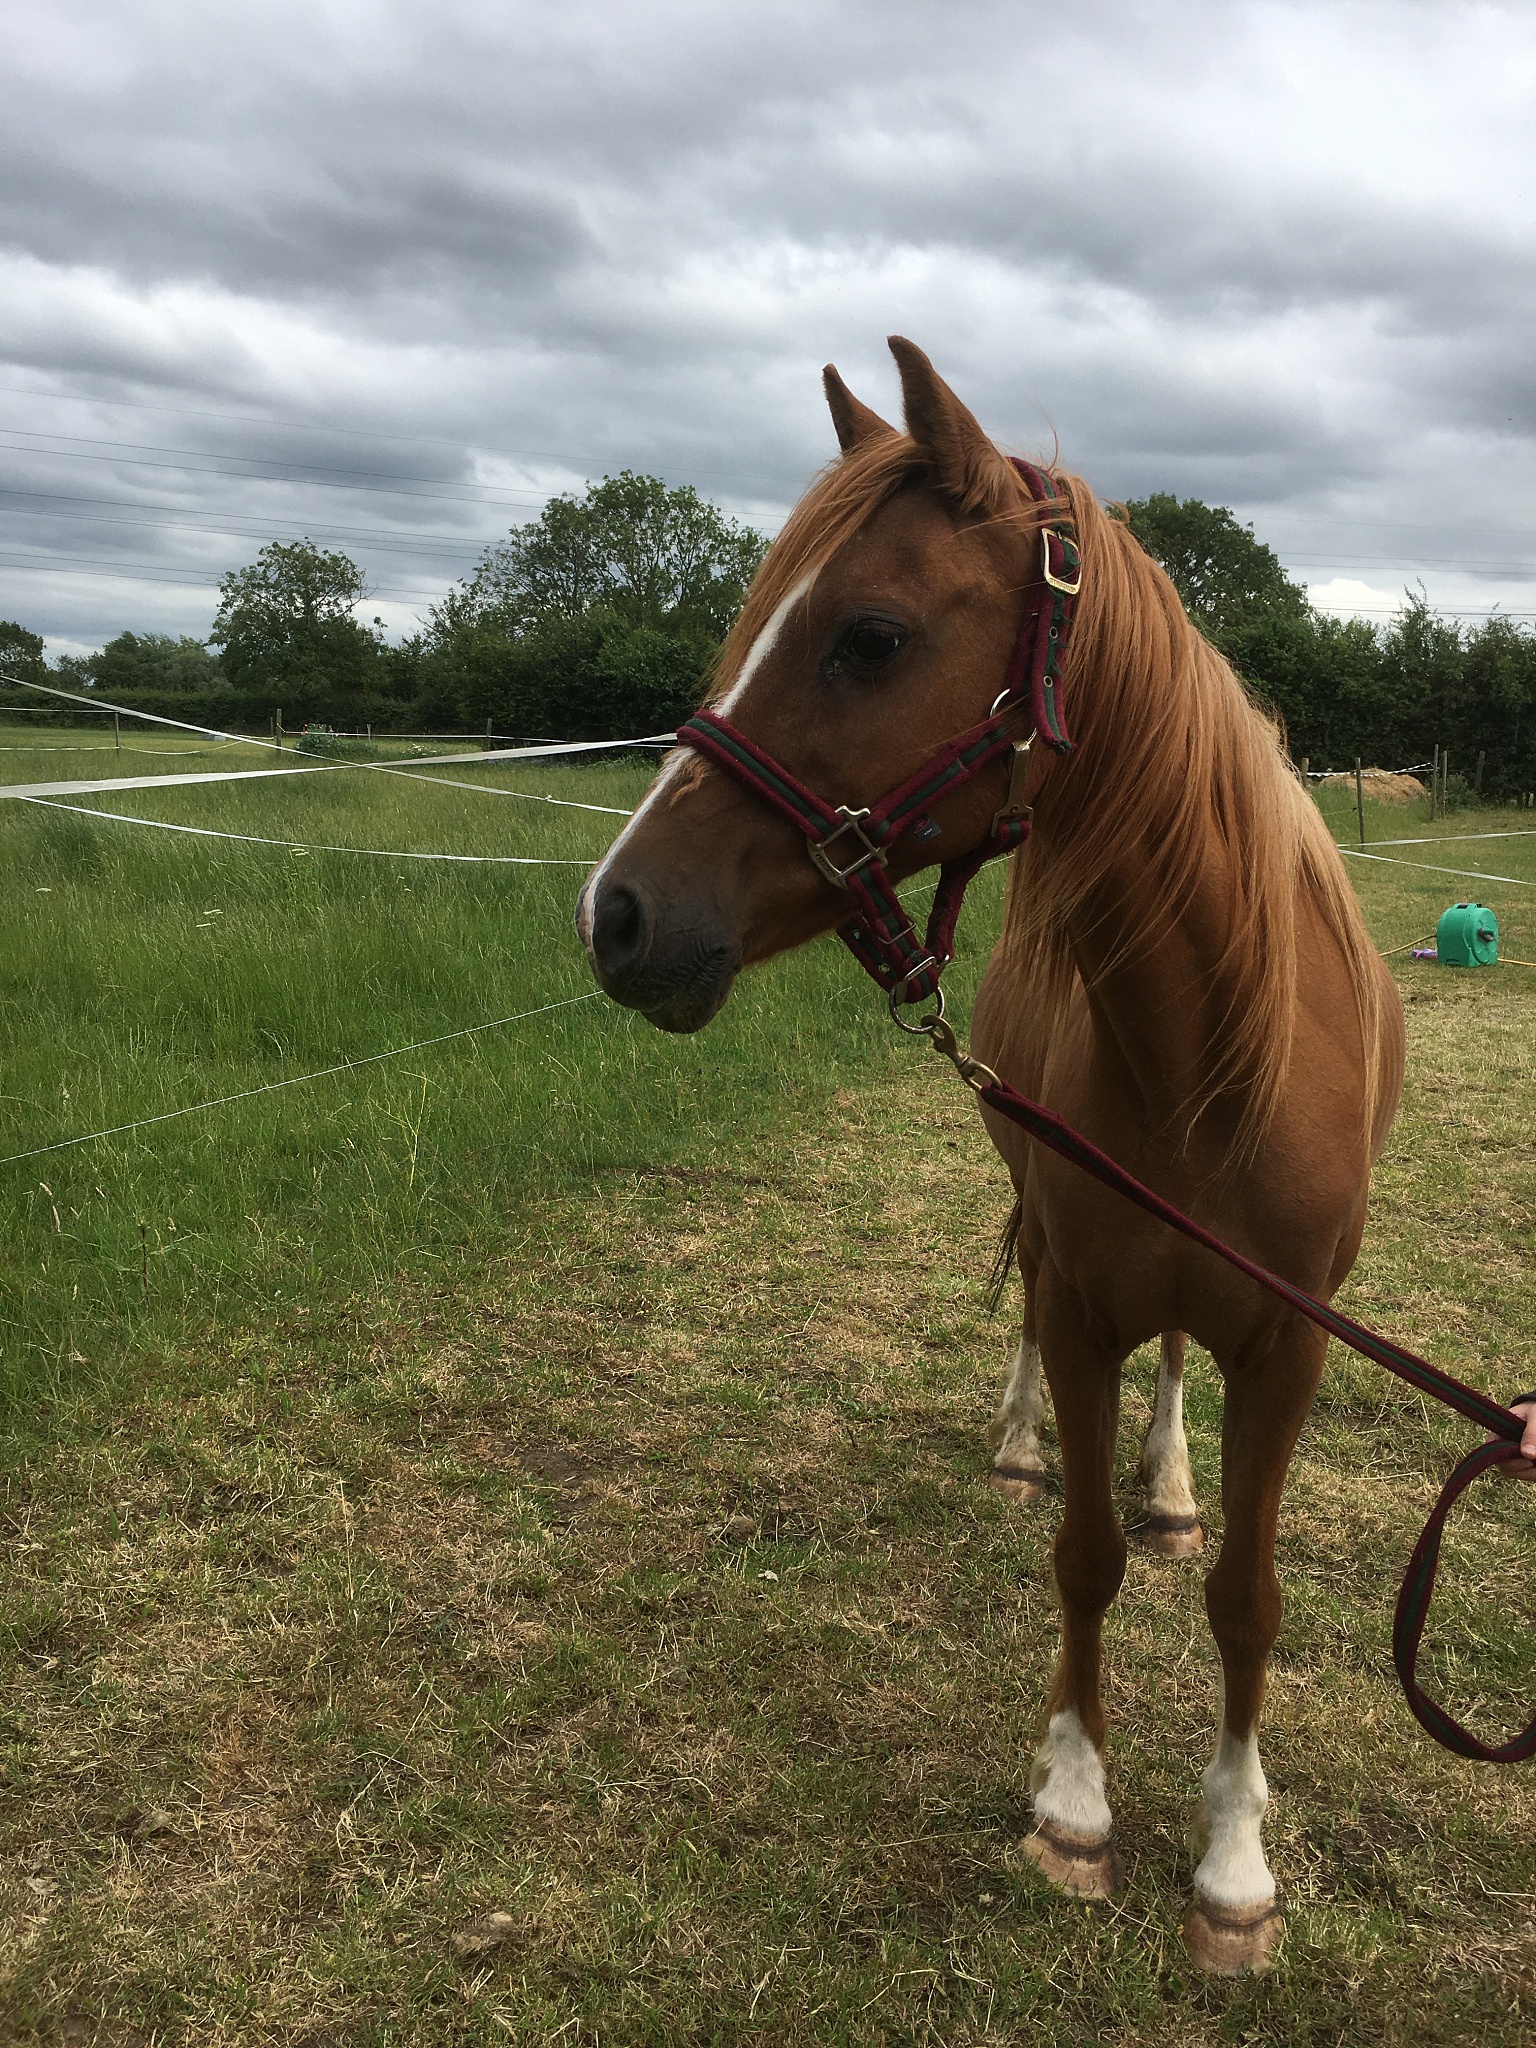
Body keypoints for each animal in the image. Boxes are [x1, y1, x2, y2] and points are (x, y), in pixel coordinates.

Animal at [576, 337, 1404, 1974]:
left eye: (870, 637)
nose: (617, 914)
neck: (1218, 1050)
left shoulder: (1288, 1345)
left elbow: (1247, 1594)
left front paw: (1234, 1864)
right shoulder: (1083, 1309)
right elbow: (1081, 1551)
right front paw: (1075, 1805)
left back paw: (1172, 1481)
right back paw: (1024, 1444)